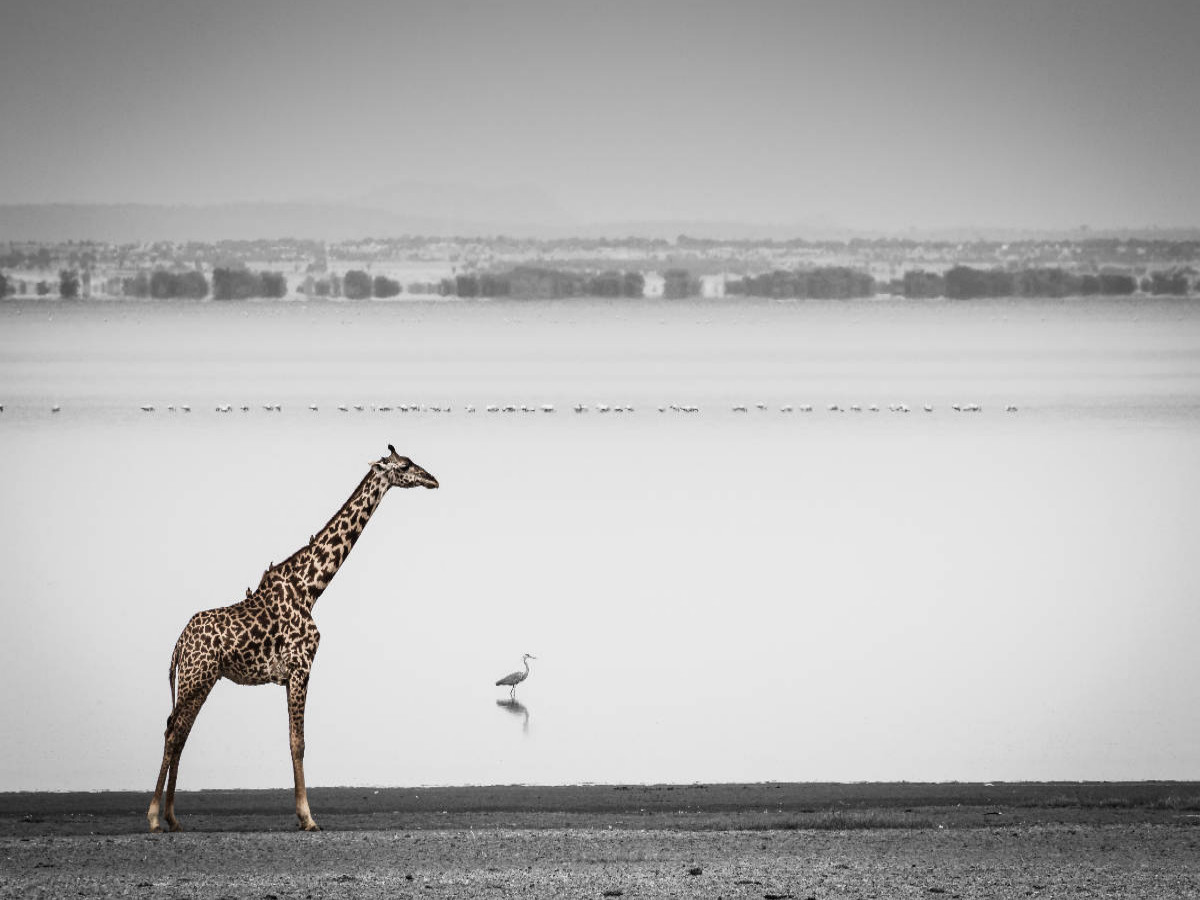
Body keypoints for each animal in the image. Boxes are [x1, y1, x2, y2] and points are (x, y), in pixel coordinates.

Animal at [147, 445, 439, 833]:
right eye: (404, 466)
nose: (433, 479)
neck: (310, 588)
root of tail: (179, 643)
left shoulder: (288, 675)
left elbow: (291, 739)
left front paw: (302, 816)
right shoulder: (301, 666)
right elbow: (298, 741)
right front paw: (308, 818)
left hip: (202, 679)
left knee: (180, 732)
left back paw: (173, 818)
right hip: (197, 676)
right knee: (172, 730)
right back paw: (153, 817)